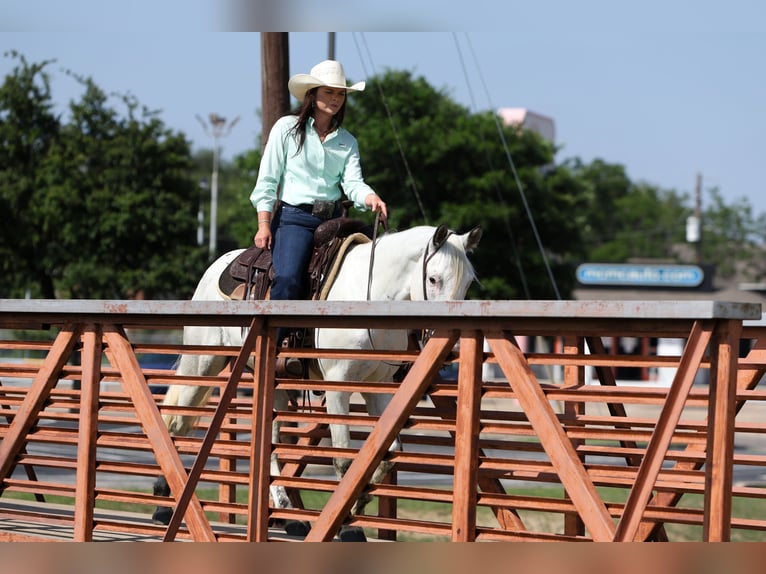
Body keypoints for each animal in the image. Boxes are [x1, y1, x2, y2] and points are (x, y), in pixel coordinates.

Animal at [153, 223, 484, 544]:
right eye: (433, 278)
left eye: (468, 283)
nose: (452, 348)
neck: (372, 296)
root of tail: (216, 266)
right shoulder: (338, 386)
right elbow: (343, 459)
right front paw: (347, 526)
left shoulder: (378, 389)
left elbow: (388, 454)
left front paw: (358, 502)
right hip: (204, 362)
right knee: (177, 423)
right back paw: (164, 504)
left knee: (269, 442)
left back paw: (289, 516)